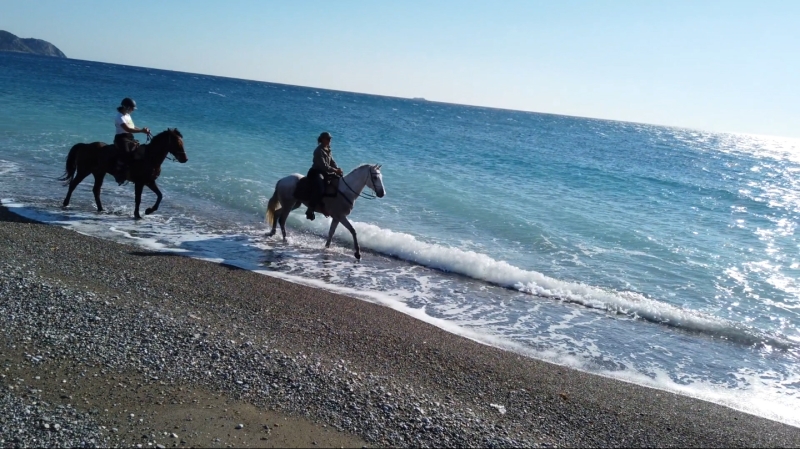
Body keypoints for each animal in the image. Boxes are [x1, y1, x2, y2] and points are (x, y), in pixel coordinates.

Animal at [61, 128, 189, 219]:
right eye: (177, 142)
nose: (185, 159)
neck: (150, 157)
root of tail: (85, 145)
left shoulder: (149, 181)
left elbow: (160, 195)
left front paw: (148, 210)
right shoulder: (140, 182)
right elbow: (138, 199)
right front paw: (137, 215)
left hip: (99, 173)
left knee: (96, 190)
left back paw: (101, 209)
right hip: (84, 171)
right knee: (73, 185)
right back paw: (65, 203)